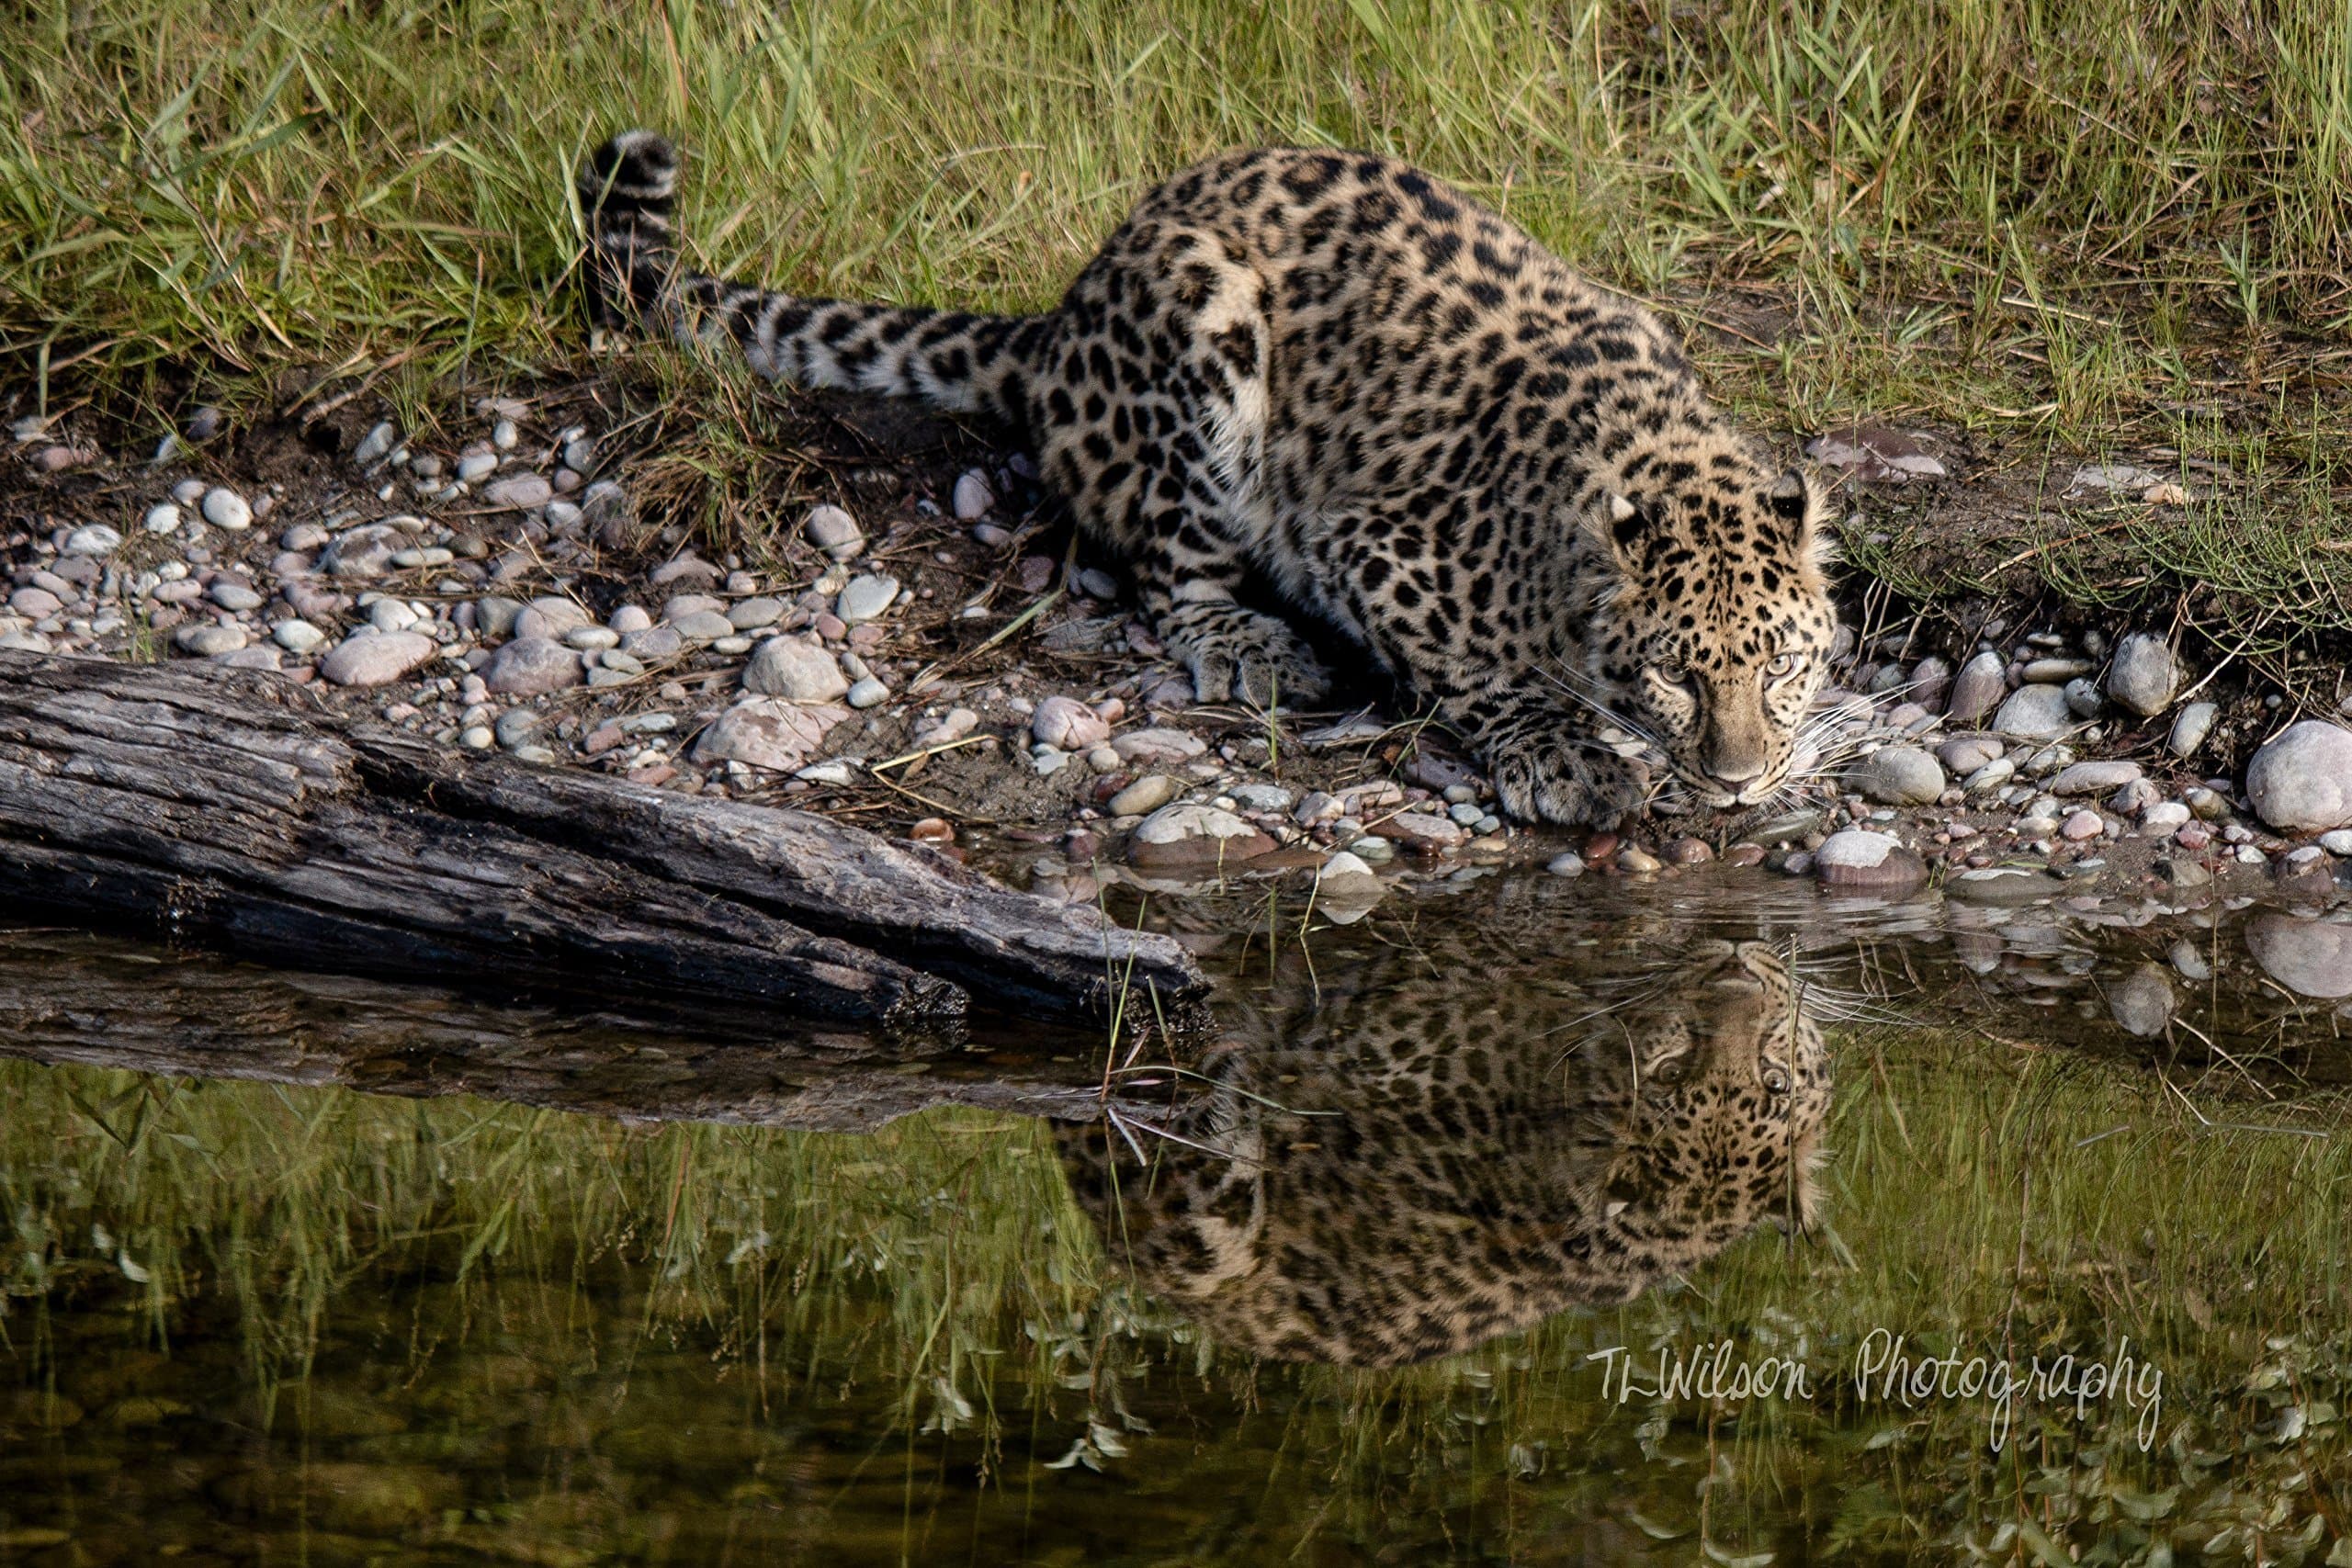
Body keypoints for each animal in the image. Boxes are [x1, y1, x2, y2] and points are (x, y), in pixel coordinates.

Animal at [576, 131, 1840, 824]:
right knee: (1169, 576)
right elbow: (1484, 669)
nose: (1736, 782)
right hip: (1207, 328)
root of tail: (1064, 314)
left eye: (1778, 667)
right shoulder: (1373, 548)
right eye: (1673, 676)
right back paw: (1255, 647)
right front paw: (1565, 755)